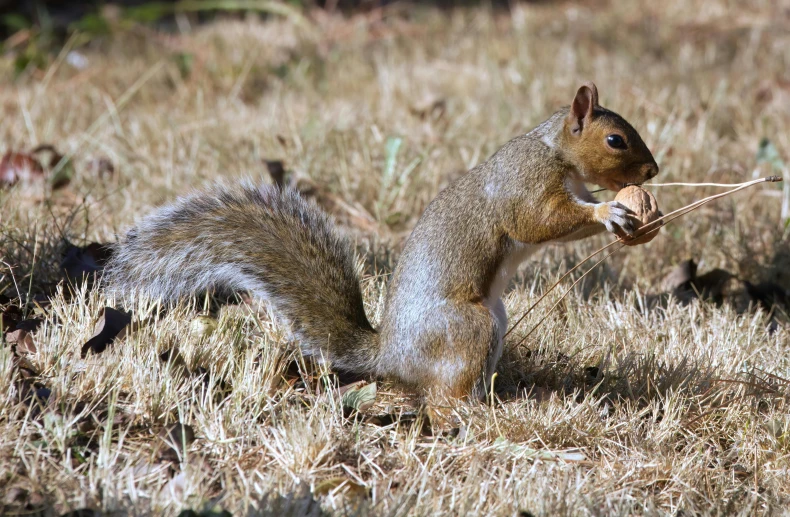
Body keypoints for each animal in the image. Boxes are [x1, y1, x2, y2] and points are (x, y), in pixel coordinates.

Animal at [106, 82, 664, 400]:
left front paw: (639, 222)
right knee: (442, 400)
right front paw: (611, 211)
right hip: (468, 327)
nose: (654, 171)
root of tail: (390, 357)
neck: (555, 152)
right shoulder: (524, 184)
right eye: (615, 140)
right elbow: (536, 222)